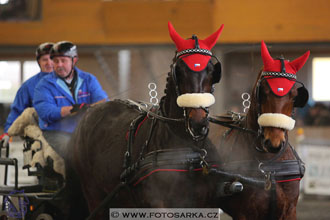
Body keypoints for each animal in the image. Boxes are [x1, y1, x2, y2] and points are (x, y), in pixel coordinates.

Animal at [69, 21, 224, 218]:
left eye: (212, 70)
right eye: (179, 71)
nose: (198, 122)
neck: (186, 149)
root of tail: (89, 113)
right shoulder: (156, 203)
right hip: (93, 194)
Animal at [209, 40, 310, 218]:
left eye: (293, 95)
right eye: (263, 91)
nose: (274, 142)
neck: (270, 167)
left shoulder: (289, 211)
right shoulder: (245, 214)